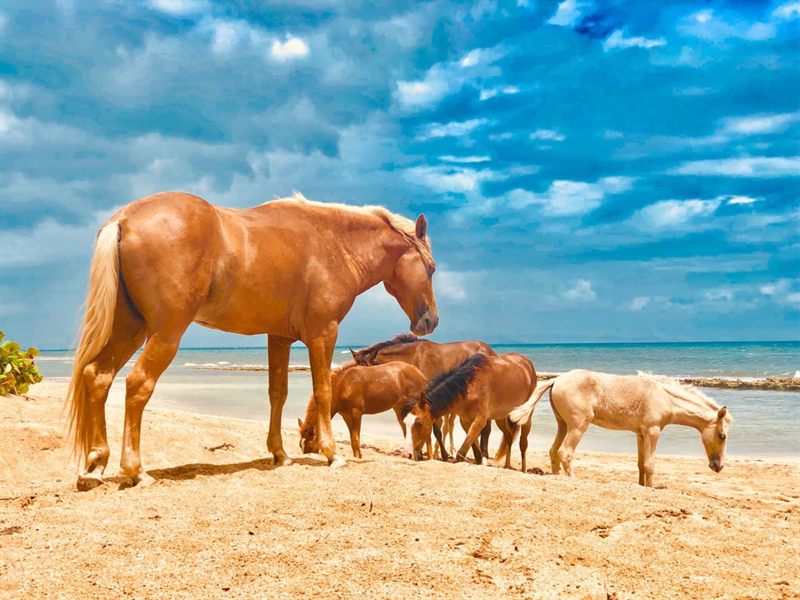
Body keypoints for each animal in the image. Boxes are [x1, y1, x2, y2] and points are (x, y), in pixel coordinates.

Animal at [298, 361, 427, 458]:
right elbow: (352, 439)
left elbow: (356, 439)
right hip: (399, 408)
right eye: (300, 445)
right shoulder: (346, 416)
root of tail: (418, 372)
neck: (344, 386)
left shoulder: (356, 413)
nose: (307, 455)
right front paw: (358, 456)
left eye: (310, 443)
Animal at [351, 334, 497, 459]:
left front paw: (440, 455)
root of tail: (489, 350)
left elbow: (435, 429)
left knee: (486, 429)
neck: (412, 358)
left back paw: (483, 455)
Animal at [402, 352, 537, 471]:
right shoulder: (466, 421)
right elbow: (476, 452)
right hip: (501, 416)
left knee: (523, 443)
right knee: (509, 438)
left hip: (527, 415)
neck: (469, 386)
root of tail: (528, 363)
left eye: (419, 423)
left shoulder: (479, 421)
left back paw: (523, 470)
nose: (408, 453)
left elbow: (460, 454)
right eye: (405, 422)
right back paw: (507, 466)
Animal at [510, 370, 733, 487]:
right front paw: (651, 488)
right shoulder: (653, 431)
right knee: (565, 452)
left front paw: (642, 486)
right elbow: (650, 464)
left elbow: (641, 464)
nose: (718, 466)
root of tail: (557, 379)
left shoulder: (641, 434)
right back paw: (574, 480)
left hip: (563, 425)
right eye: (722, 436)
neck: (664, 397)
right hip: (577, 426)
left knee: (554, 451)